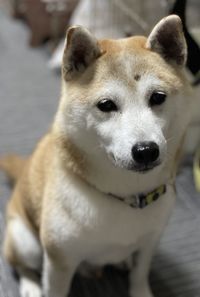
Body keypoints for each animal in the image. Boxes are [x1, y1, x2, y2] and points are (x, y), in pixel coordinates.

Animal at [0, 15, 191, 296]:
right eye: (106, 105)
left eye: (158, 97)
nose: (146, 150)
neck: (124, 197)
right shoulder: (59, 261)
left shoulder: (150, 241)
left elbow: (140, 273)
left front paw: (140, 289)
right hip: (25, 241)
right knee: (21, 265)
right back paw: (30, 286)